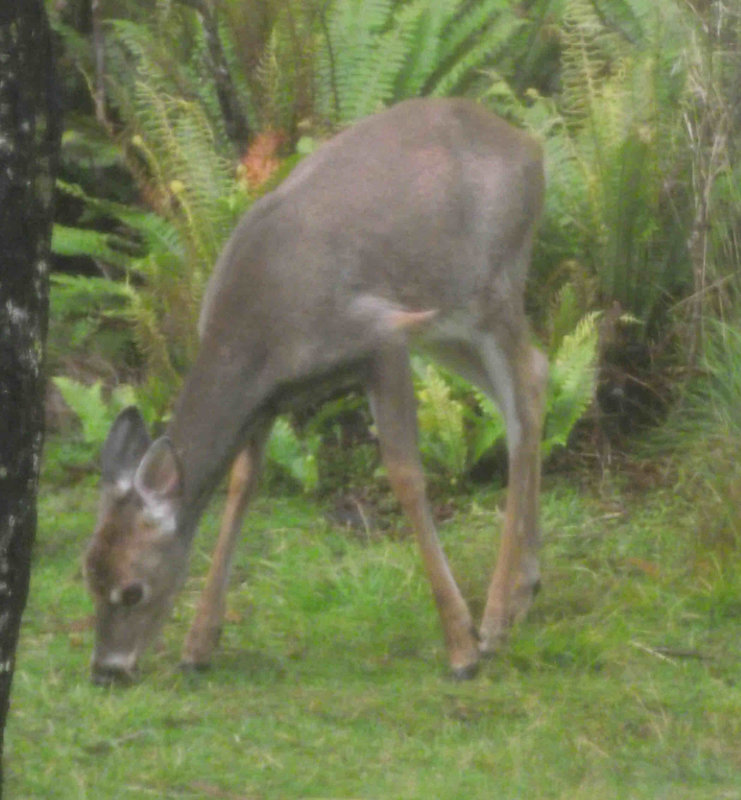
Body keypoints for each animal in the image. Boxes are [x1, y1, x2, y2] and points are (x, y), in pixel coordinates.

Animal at [84, 98, 548, 688]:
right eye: (88, 575)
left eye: (132, 590)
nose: (107, 671)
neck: (257, 333)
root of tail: (530, 147)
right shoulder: (269, 401)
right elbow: (243, 485)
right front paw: (199, 644)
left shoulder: (380, 336)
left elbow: (405, 476)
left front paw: (460, 648)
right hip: (447, 327)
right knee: (535, 377)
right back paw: (523, 591)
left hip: (491, 287)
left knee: (525, 391)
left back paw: (494, 618)